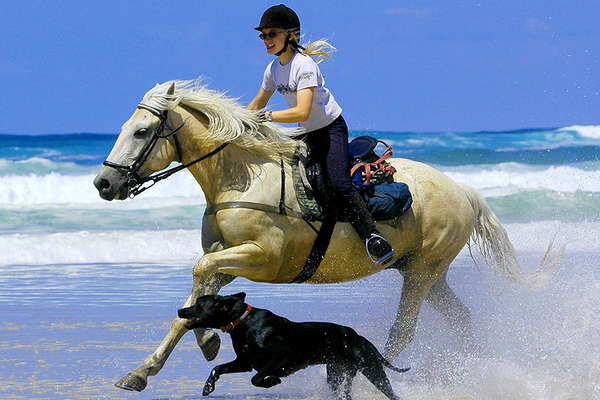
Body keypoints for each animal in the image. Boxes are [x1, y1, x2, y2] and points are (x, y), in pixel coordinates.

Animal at [176, 292, 406, 398]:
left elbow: (256, 378)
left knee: (391, 392)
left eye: (198, 305)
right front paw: (208, 386)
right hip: (336, 374)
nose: (180, 310)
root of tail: (359, 337)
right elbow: (217, 368)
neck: (243, 323)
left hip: (372, 370)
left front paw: (272, 381)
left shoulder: (279, 357)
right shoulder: (244, 362)